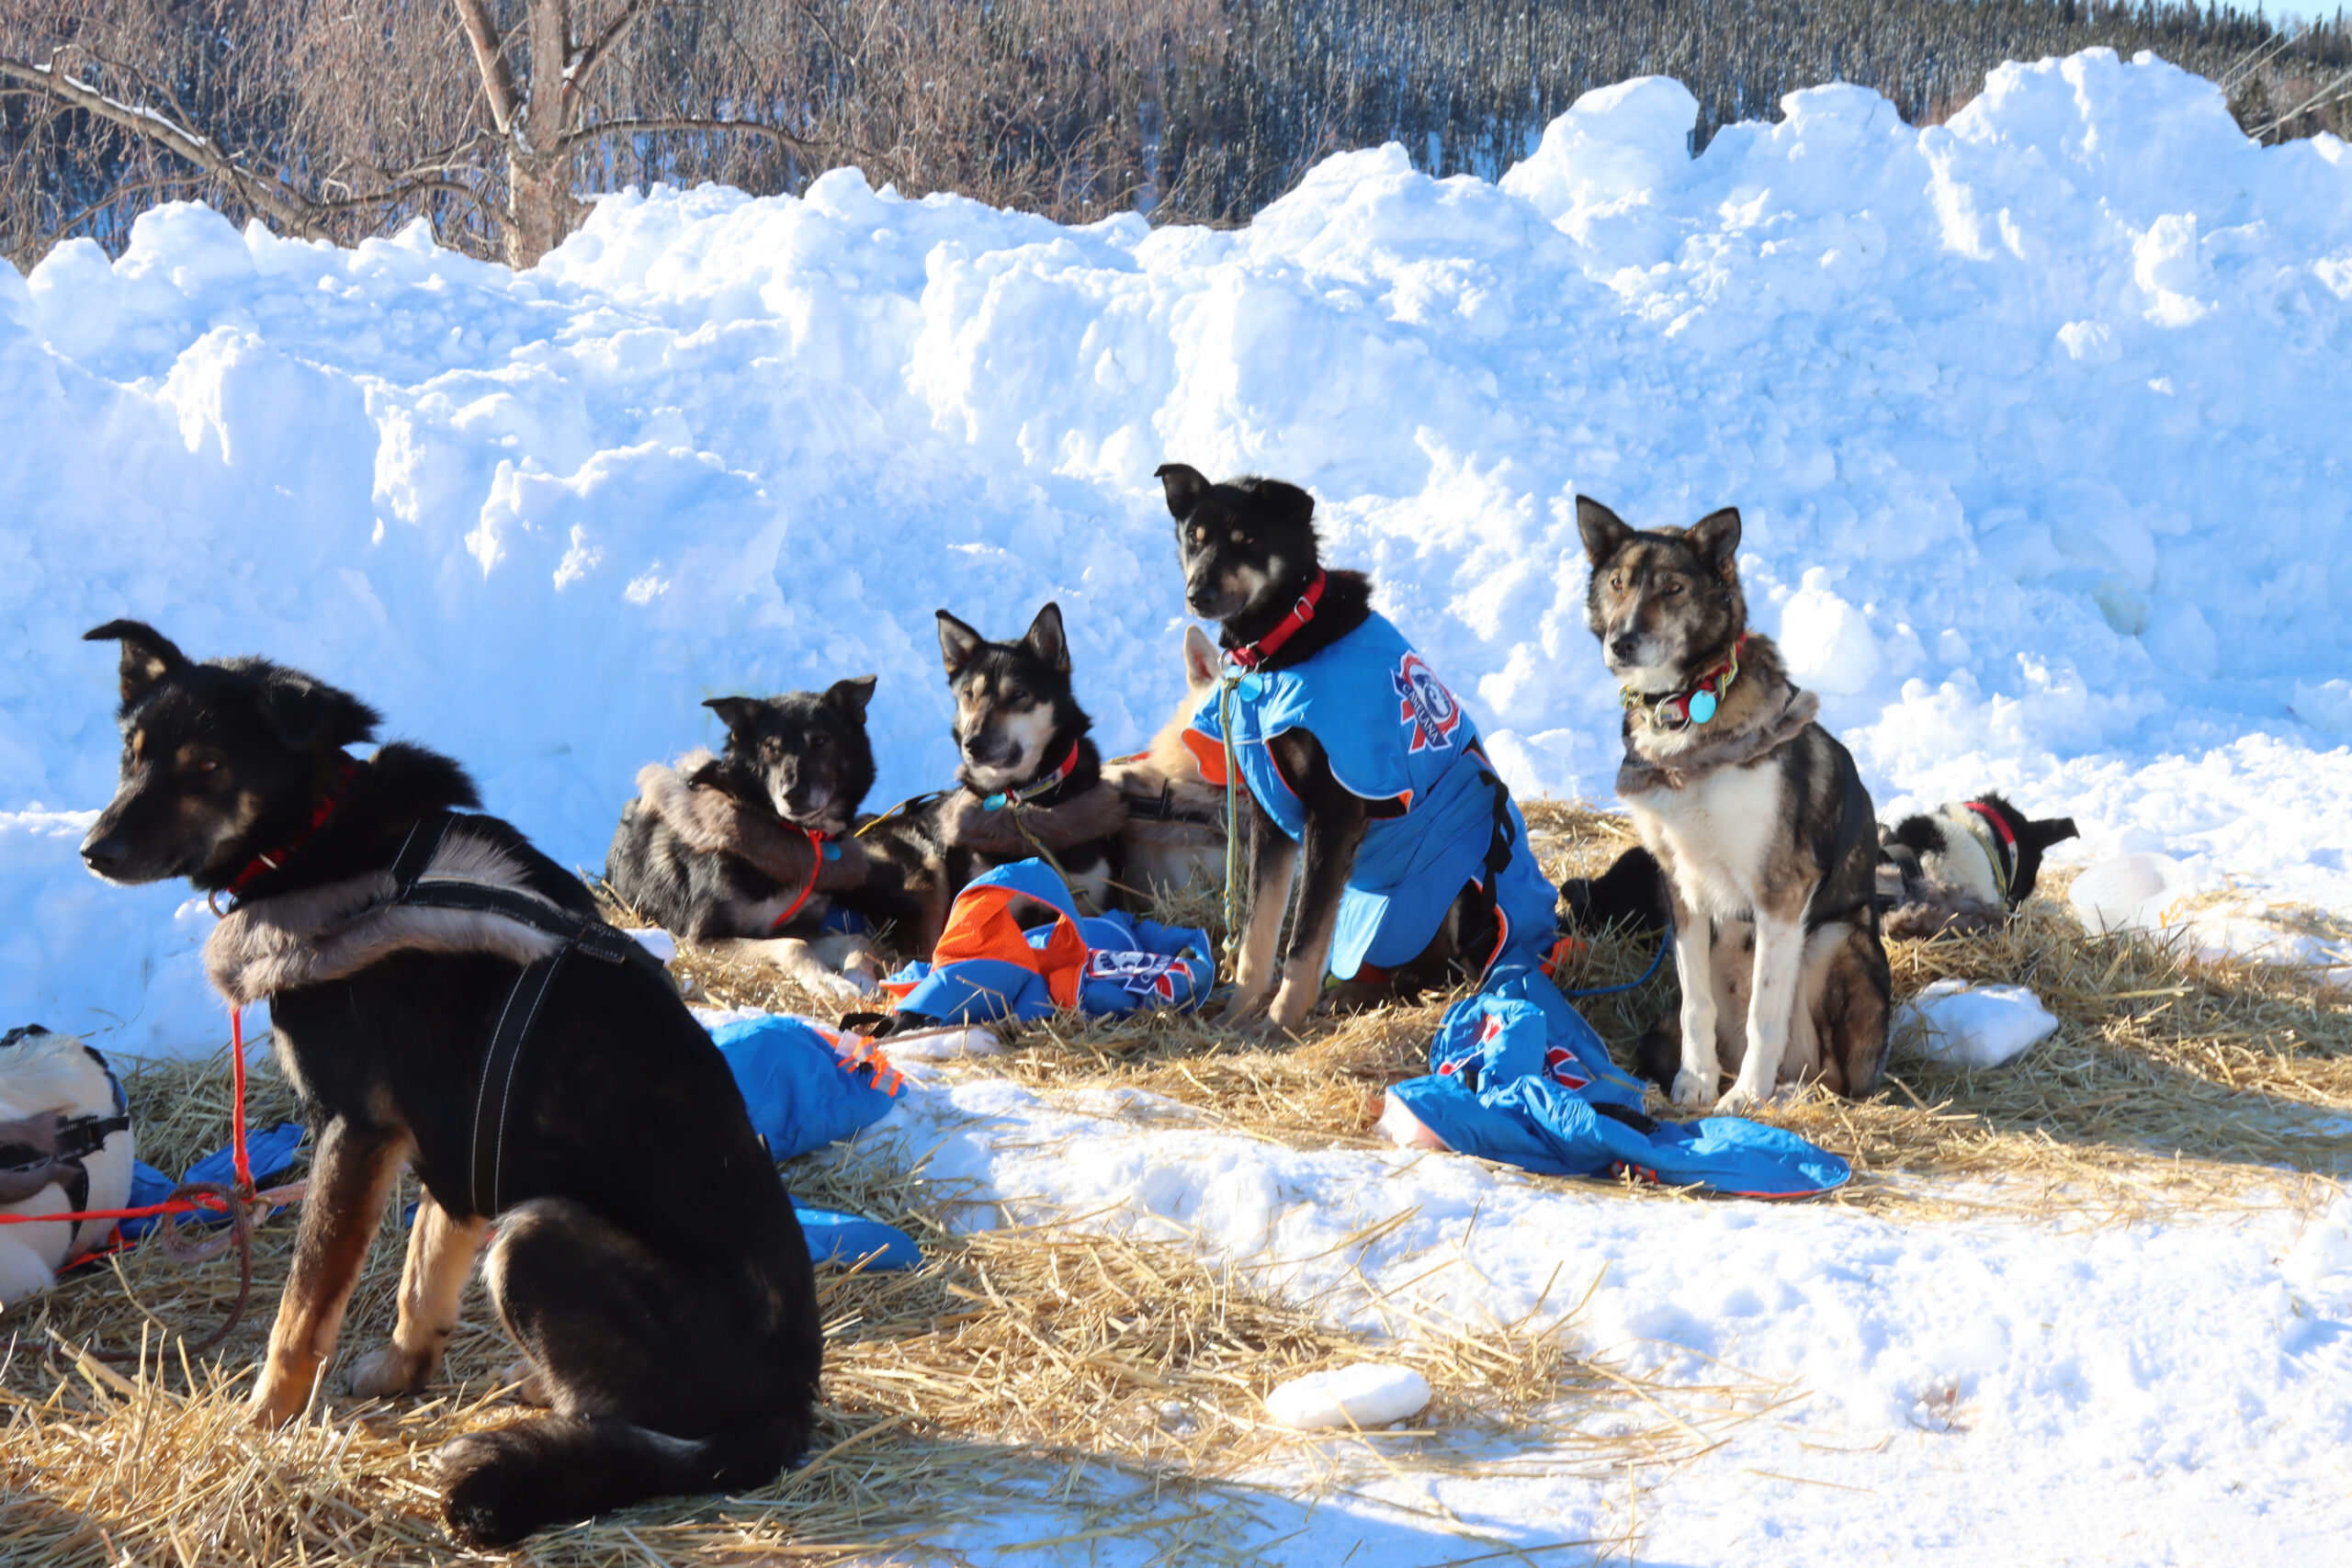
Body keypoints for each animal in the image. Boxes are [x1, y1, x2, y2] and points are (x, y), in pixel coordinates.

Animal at [74, 620, 823, 1541]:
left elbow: (302, 1306)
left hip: (536, 1234)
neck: (327, 841)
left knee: (630, 1425)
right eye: (131, 755)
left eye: (208, 765)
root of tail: (790, 1404)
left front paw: (262, 1418)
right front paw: (402, 1369)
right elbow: (423, 1271)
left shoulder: (353, 1129)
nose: (94, 849)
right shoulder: (448, 1139)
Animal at [606, 677, 898, 1001]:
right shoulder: (701, 938)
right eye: (770, 746)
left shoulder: (800, 926)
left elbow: (855, 939)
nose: (793, 795)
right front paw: (829, 982)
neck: (786, 829)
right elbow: (794, 946)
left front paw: (861, 977)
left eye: (821, 740)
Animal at [860, 606, 1124, 959]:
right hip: (927, 868)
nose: (972, 744)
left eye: (1019, 694)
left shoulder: (1093, 902)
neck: (1026, 800)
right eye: (969, 694)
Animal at [1580, 495, 1891, 1109]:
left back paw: (1788, 1093)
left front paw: (1745, 1097)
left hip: (1834, 939)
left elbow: (1763, 1017)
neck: (1687, 707)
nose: (1621, 641)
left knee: (1833, 1078)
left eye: (1674, 588)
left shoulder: (1782, 890)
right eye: (1618, 582)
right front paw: (1696, 1081)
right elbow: (1697, 1006)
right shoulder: (1682, 890)